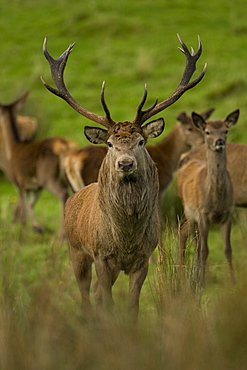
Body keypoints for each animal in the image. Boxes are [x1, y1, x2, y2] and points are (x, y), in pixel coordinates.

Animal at [41, 33, 206, 320]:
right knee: (86, 294)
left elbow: (131, 306)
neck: (125, 238)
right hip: (76, 250)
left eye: (141, 141)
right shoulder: (102, 255)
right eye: (109, 143)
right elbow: (107, 301)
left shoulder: (142, 258)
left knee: (95, 293)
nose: (125, 163)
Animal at [178, 108, 239, 284]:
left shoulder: (228, 214)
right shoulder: (203, 214)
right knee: (190, 238)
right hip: (188, 211)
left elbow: (228, 249)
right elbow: (204, 250)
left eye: (226, 130)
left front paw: (233, 281)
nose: (219, 141)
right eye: (207, 132)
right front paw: (202, 283)